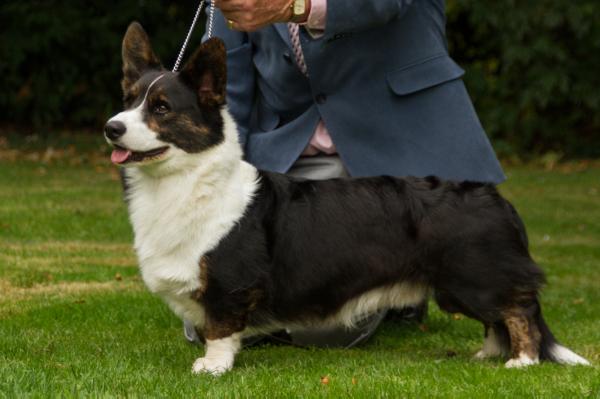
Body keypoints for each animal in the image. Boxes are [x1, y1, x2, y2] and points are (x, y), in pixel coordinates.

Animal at [104, 23, 592, 376]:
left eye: (162, 107)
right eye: (128, 99)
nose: (112, 127)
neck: (181, 180)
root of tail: (495, 197)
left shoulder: (229, 283)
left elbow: (220, 329)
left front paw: (212, 368)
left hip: (475, 277)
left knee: (518, 310)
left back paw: (521, 361)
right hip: (460, 288)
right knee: (499, 317)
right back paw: (489, 356)